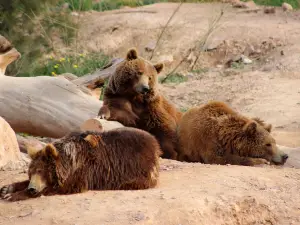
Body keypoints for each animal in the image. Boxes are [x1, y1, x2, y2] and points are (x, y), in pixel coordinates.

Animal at [0, 126, 162, 202]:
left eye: (41, 170)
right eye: (31, 171)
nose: (32, 188)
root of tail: (155, 143)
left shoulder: (81, 172)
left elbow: (59, 187)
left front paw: (13, 195)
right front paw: (7, 188)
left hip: (137, 166)